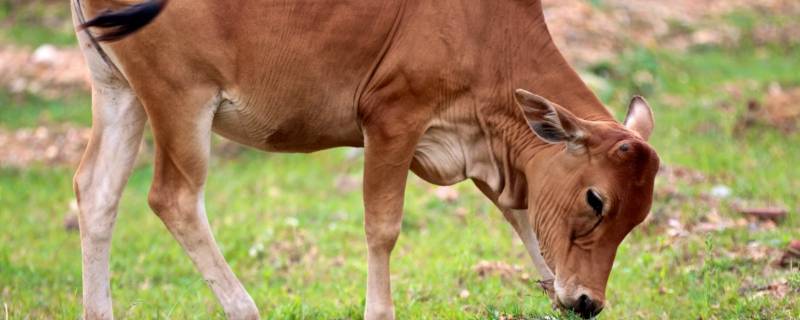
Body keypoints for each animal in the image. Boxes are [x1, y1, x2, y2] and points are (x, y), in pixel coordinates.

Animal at [72, 0, 660, 318]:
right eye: (596, 200)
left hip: (118, 88)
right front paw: (380, 310)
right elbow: (383, 227)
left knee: (96, 191)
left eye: (637, 218)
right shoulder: (393, 117)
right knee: (173, 197)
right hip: (181, 96)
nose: (588, 301)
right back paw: (244, 308)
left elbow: (522, 220)